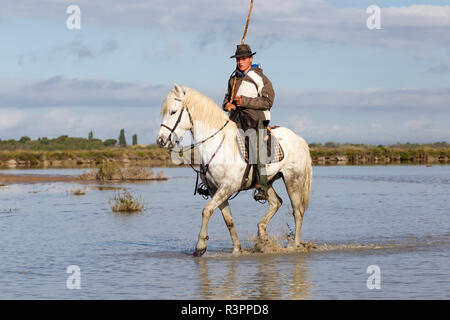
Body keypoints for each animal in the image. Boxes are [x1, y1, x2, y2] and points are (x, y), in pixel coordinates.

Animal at [156, 84, 312, 256]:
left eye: (173, 112)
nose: (161, 140)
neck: (216, 144)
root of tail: (298, 138)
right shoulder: (215, 190)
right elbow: (228, 220)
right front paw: (237, 249)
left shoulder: (228, 187)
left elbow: (206, 210)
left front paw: (200, 246)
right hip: (267, 182)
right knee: (276, 203)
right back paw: (262, 235)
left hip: (293, 179)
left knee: (297, 211)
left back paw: (294, 245)